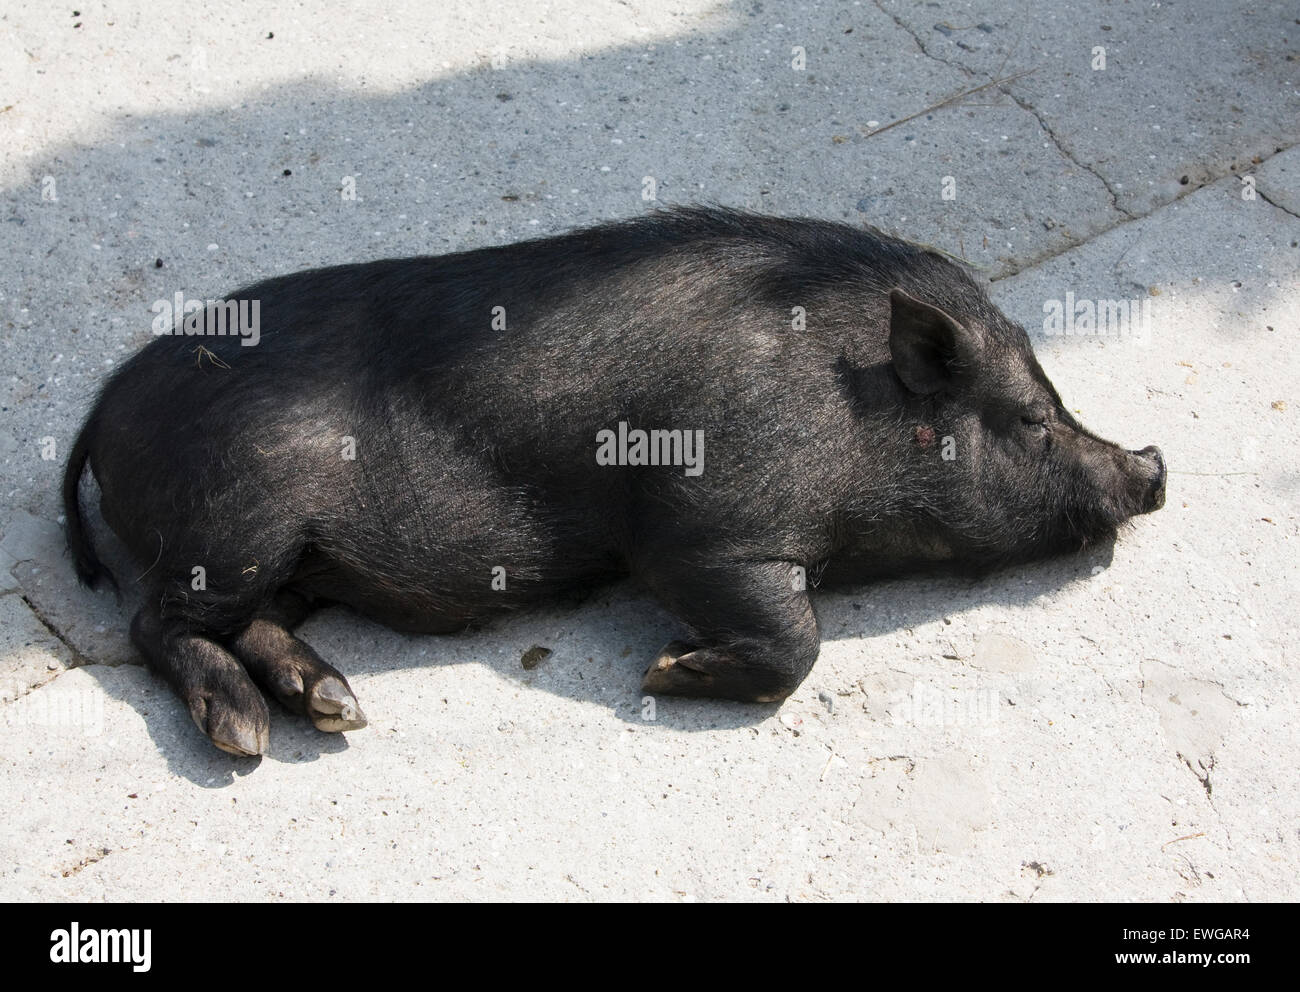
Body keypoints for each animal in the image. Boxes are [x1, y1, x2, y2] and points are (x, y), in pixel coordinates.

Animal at [63, 207, 1166, 756]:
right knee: (153, 623)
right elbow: (795, 638)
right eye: (1030, 419)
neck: (847, 401)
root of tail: (103, 407)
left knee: (245, 624)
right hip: (233, 520)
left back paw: (335, 706)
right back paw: (244, 737)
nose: (1152, 465)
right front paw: (663, 673)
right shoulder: (701, 522)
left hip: (286, 557)